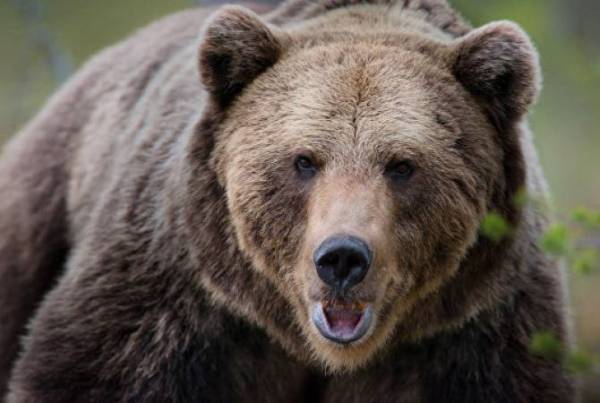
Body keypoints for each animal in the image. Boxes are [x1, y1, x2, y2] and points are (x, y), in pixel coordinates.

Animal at [0, 0, 576, 400]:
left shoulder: (476, 333)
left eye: (402, 165)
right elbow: (92, 372)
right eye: (304, 160)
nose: (342, 257)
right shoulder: (171, 301)